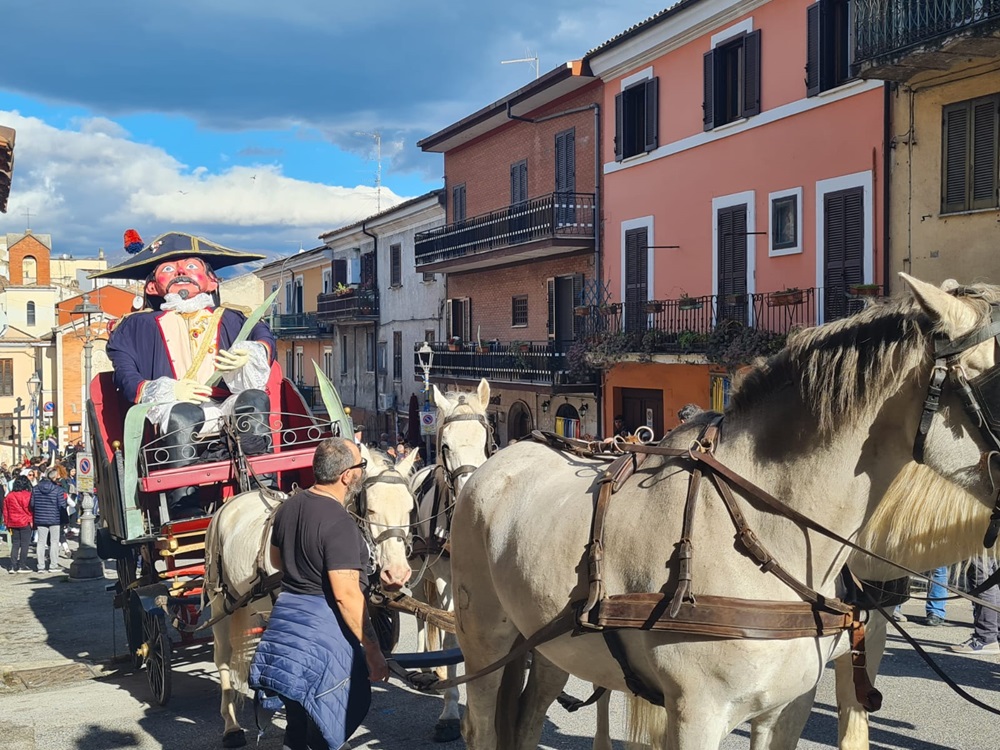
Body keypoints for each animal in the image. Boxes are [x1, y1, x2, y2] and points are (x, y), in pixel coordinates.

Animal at [206, 444, 418, 748]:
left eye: (409, 509)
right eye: (371, 508)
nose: (397, 573)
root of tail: (232, 502)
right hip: (221, 603)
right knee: (223, 657)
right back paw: (231, 726)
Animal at [452, 278, 1000, 750]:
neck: (766, 535)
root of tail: (496, 461)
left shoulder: (788, 708)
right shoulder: (697, 713)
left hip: (549, 644)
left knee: (526, 720)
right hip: (486, 643)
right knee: (481, 725)